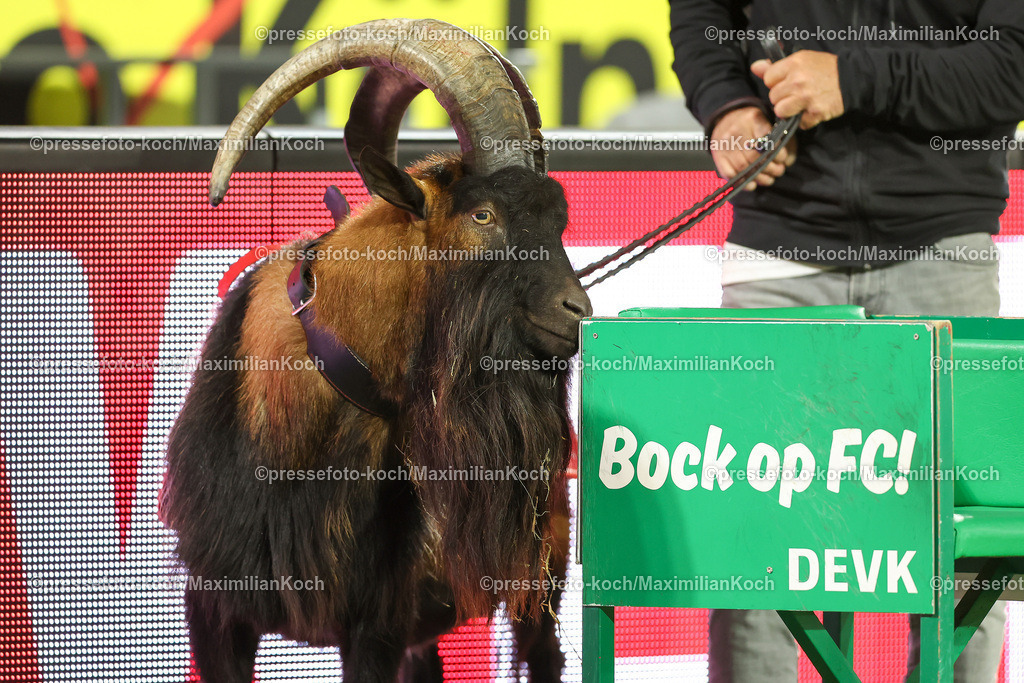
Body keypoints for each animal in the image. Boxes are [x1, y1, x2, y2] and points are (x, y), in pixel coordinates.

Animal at [160, 18, 591, 683]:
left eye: (561, 220)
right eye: (483, 214)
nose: (577, 311)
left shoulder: (376, 624)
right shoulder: (214, 611)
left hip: (540, 576)